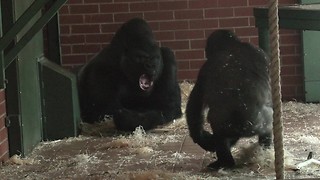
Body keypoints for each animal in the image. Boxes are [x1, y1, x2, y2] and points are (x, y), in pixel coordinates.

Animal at [186, 29, 274, 169]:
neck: (233, 45)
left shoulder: (205, 68)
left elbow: (196, 102)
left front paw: (199, 137)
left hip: (231, 123)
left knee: (220, 134)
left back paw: (225, 161)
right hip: (259, 123)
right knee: (266, 128)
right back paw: (264, 150)